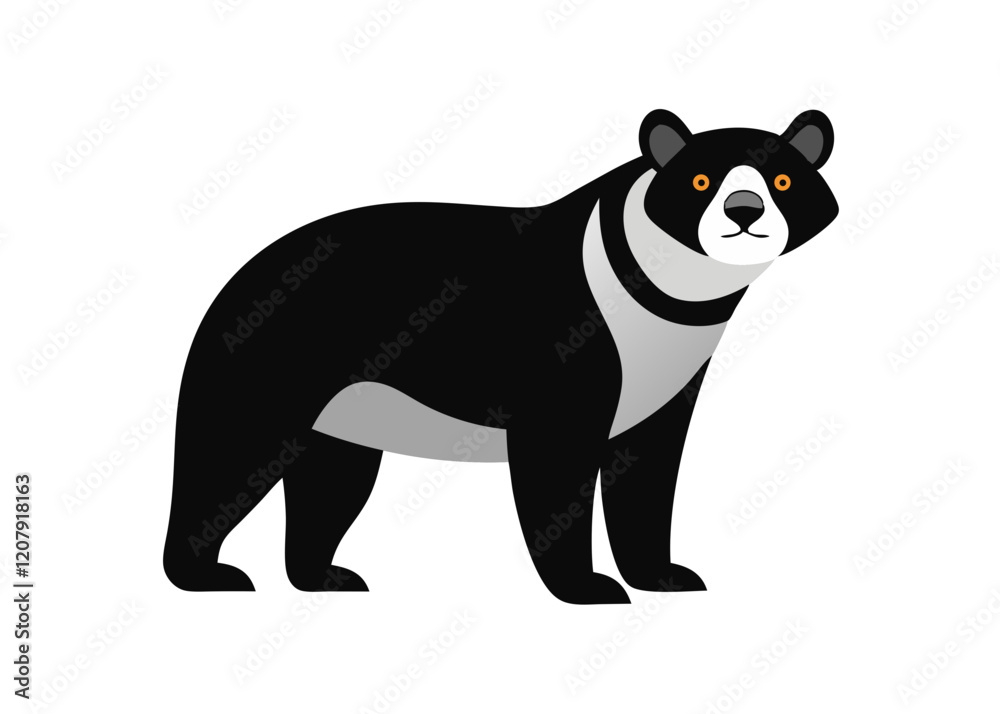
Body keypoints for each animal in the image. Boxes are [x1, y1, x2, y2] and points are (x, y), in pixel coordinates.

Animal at [163, 109, 839, 604]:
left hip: (346, 407)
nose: (744, 211)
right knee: (225, 456)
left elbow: (647, 471)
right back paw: (208, 577)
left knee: (332, 480)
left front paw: (665, 577)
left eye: (783, 182)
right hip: (271, 362)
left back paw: (326, 579)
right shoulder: (569, 344)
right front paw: (588, 588)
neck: (670, 289)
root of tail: (238, 276)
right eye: (701, 182)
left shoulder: (669, 373)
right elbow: (557, 463)